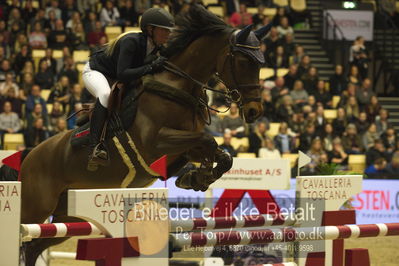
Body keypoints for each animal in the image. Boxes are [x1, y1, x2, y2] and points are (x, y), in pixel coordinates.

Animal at [19, 5, 272, 264]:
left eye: (260, 63)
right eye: (243, 62)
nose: (255, 111)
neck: (178, 85)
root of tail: (30, 155)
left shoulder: (180, 147)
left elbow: (220, 154)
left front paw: (195, 177)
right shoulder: (156, 142)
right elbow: (208, 140)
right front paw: (200, 175)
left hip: (69, 216)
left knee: (35, 246)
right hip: (36, 207)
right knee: (25, 236)